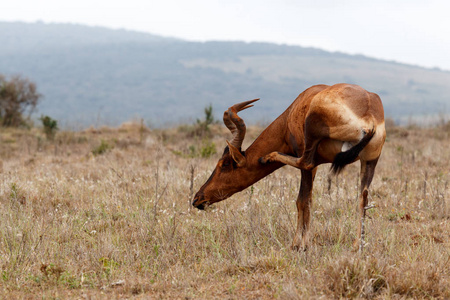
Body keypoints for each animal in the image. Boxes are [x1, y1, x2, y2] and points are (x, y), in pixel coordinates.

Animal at [192, 83, 384, 250]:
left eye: (225, 164)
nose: (197, 199)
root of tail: (368, 114)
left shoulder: (308, 163)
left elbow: (302, 200)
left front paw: (299, 245)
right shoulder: (316, 167)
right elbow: (307, 199)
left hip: (311, 138)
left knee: (304, 162)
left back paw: (268, 157)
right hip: (370, 161)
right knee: (363, 197)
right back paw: (357, 245)